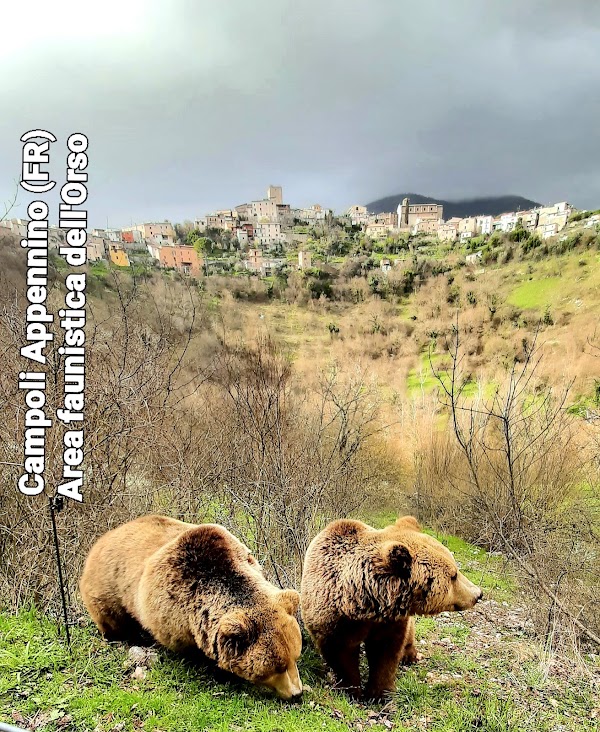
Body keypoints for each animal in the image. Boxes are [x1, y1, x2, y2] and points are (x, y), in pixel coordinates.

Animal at [79, 515, 303, 700]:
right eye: (277, 667)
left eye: (295, 656)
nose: (297, 694)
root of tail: (104, 538)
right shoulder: (170, 611)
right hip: (108, 587)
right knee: (112, 619)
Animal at [300, 515, 483, 700]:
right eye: (453, 575)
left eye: (455, 570)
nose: (478, 594)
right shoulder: (333, 619)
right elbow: (341, 654)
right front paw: (352, 690)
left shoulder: (390, 621)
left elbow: (385, 652)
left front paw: (380, 693)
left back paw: (411, 656)